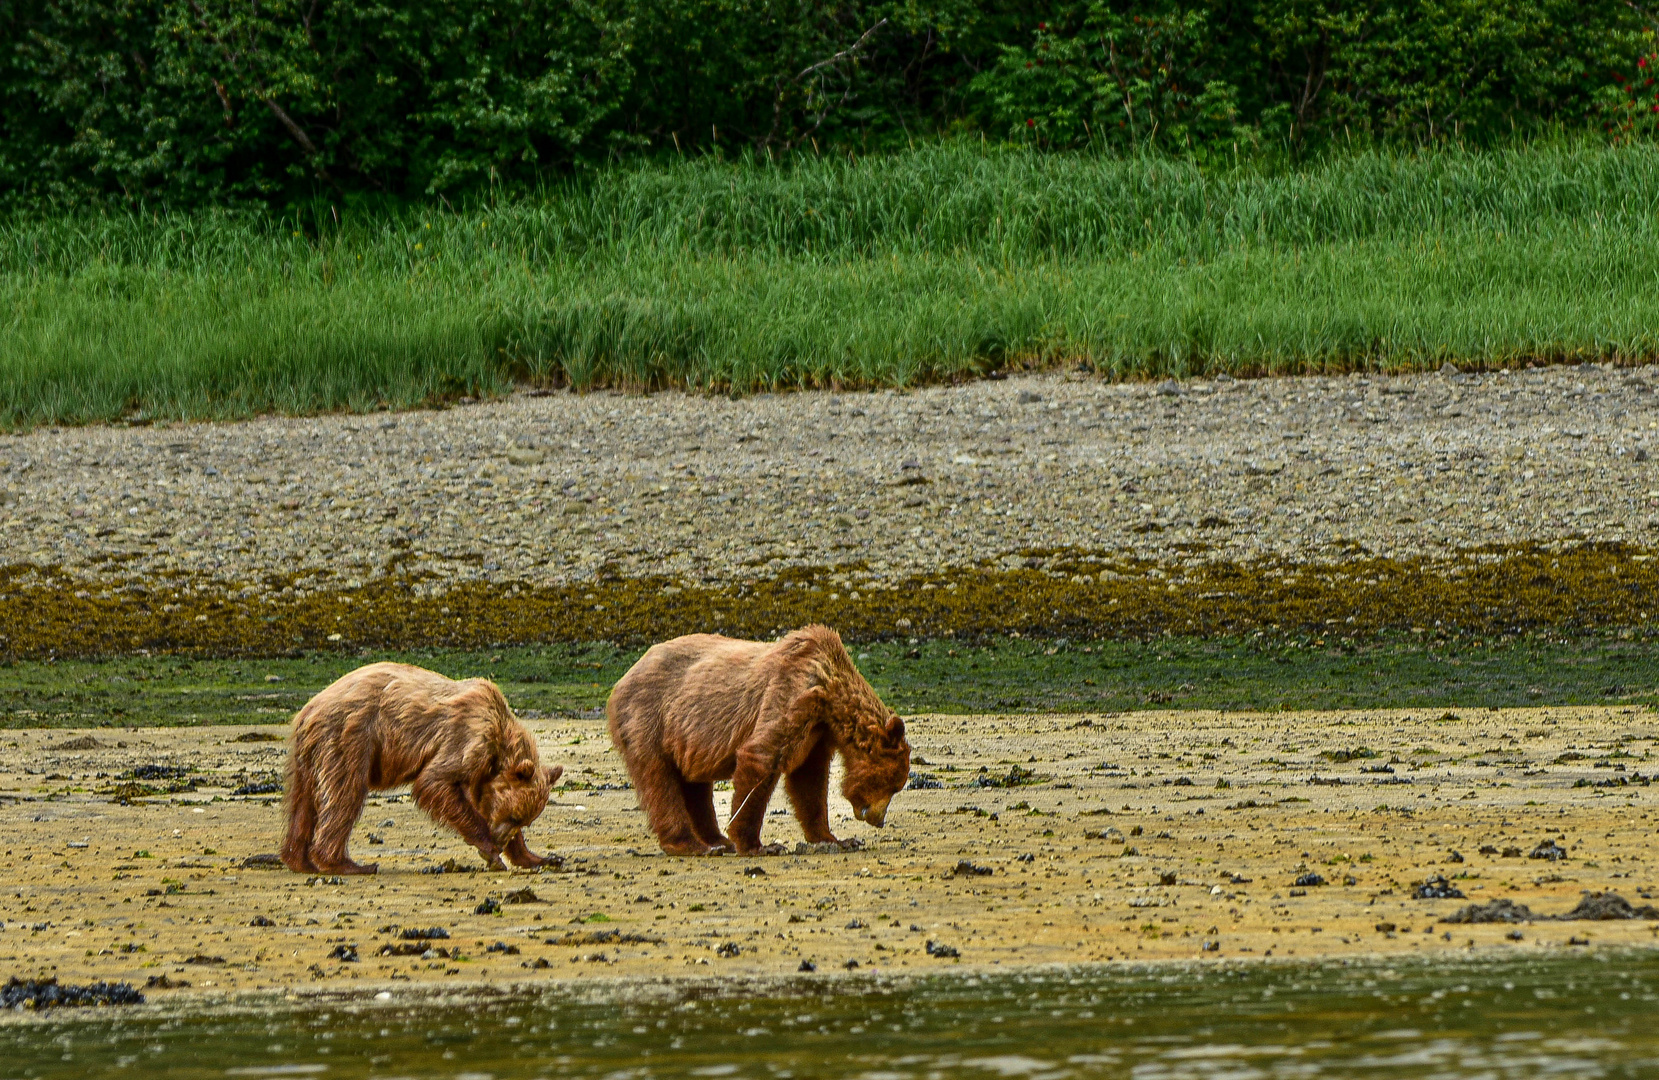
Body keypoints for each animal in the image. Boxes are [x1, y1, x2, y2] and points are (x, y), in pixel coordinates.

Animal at [280, 660, 564, 875]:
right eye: (515, 816)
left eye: (525, 820)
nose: (501, 840)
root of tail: (308, 709)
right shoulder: (467, 739)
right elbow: (434, 782)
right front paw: (490, 850)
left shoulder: (483, 773)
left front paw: (541, 858)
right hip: (350, 735)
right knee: (345, 793)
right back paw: (346, 864)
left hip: (306, 755)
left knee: (302, 802)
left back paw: (299, 860)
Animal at [607, 623, 909, 856]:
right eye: (893, 785)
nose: (879, 820)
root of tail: (621, 681)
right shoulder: (790, 693)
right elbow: (762, 757)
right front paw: (758, 844)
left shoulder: (816, 731)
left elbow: (809, 781)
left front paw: (837, 839)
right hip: (648, 719)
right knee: (660, 782)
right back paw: (692, 845)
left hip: (686, 735)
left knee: (693, 785)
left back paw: (717, 841)